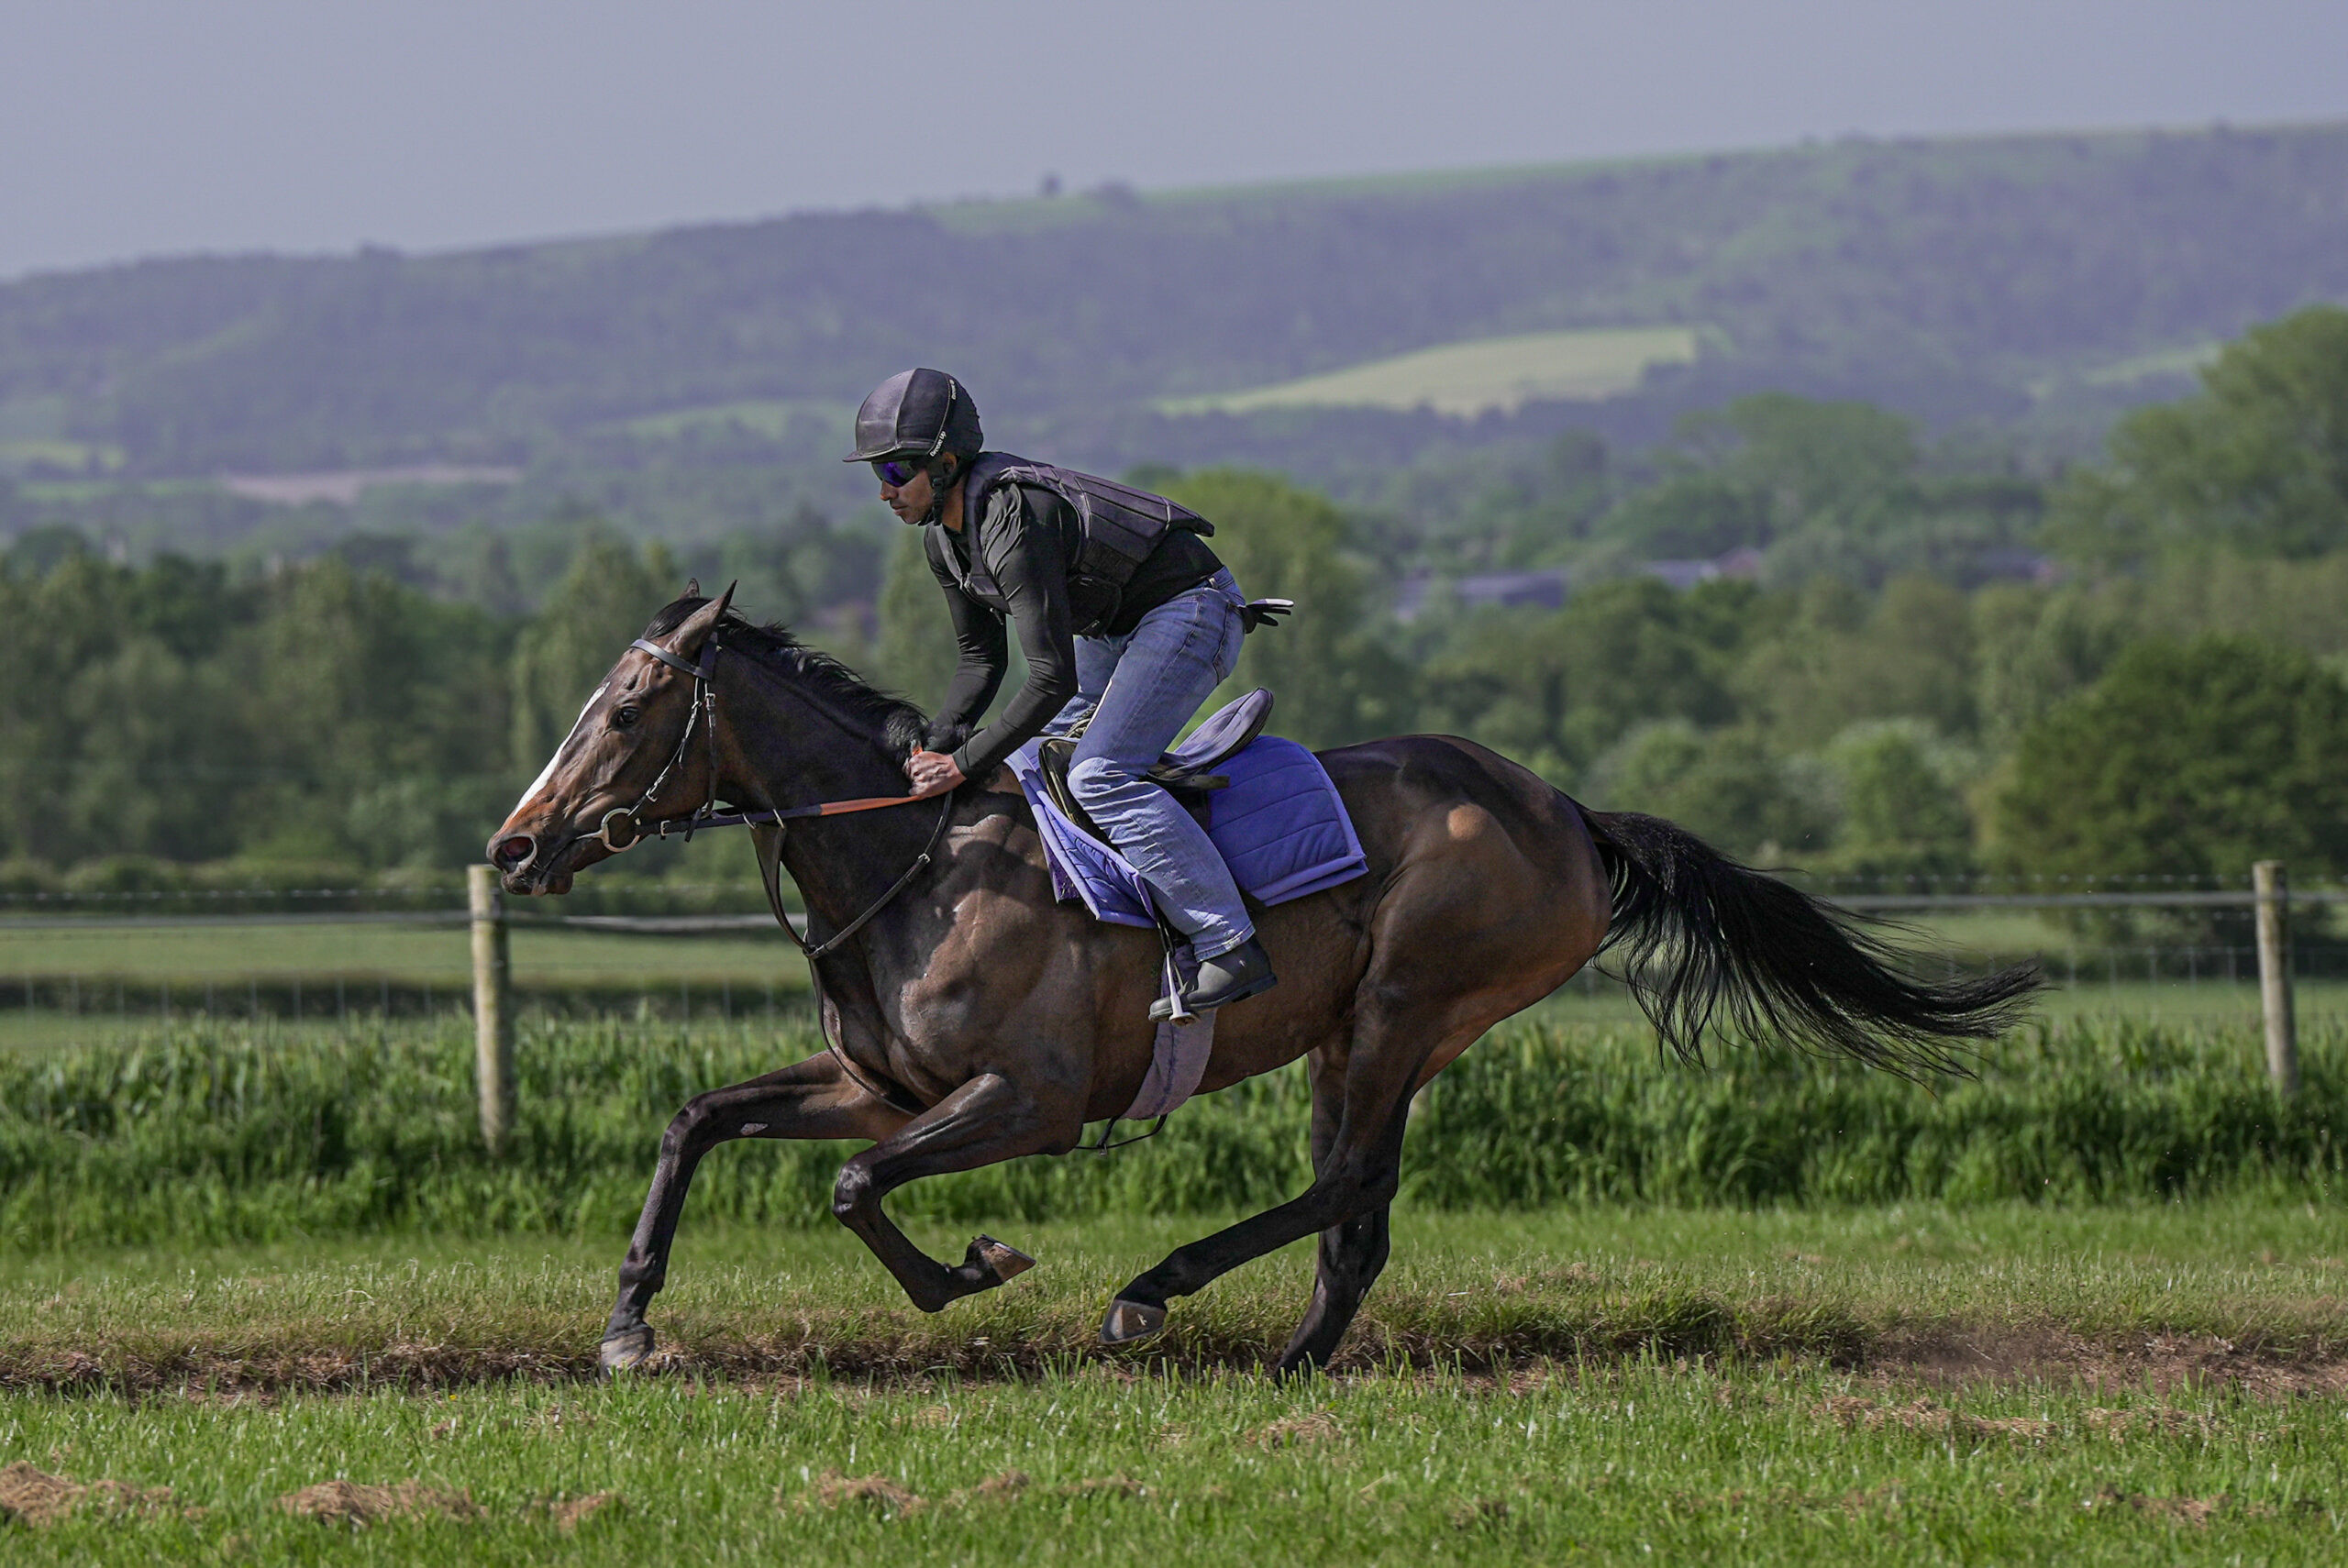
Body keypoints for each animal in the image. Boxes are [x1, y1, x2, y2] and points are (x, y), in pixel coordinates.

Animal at [491, 586, 2038, 1370]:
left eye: (627, 708)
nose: (515, 843)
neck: (913, 860)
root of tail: (1566, 811)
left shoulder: (1030, 1099)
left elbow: (856, 1187)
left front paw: (977, 1269)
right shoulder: (884, 1082)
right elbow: (701, 1122)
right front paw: (627, 1324)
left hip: (1411, 1002)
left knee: (1350, 1183)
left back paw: (1155, 1293)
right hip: (1354, 1032)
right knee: (1358, 1206)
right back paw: (1294, 1352)